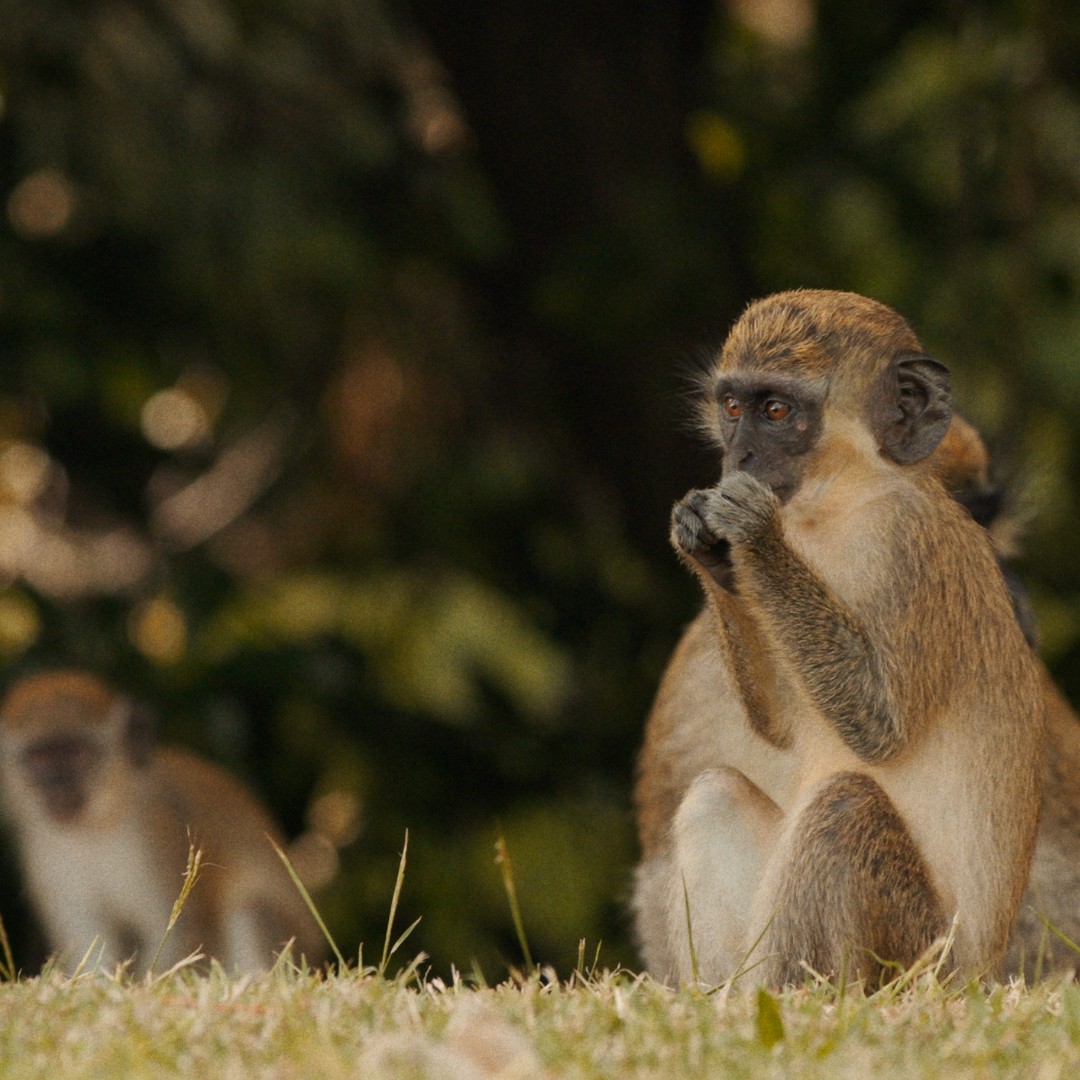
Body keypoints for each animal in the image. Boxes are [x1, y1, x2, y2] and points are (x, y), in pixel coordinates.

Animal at [0, 670, 325, 976]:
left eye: (76, 753)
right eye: (39, 758)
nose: (57, 788)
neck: (100, 822)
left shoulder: (162, 829)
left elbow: (183, 928)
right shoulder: (43, 851)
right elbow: (90, 939)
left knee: (253, 911)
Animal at [632, 289, 1044, 989]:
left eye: (776, 411)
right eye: (733, 408)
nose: (738, 460)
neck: (844, 503)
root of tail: (974, 976)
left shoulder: (907, 546)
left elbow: (880, 726)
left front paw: (752, 532)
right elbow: (778, 729)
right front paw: (705, 542)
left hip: (916, 957)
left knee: (845, 809)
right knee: (715, 794)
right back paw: (724, 997)